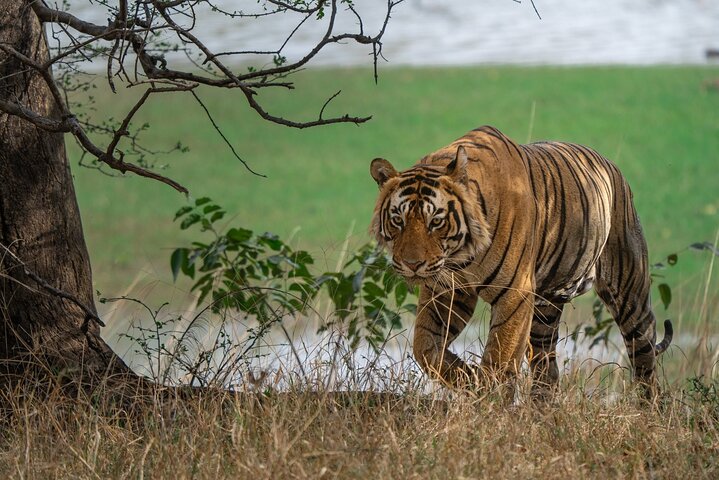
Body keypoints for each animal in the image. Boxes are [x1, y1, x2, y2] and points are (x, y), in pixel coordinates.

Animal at [369, 125, 673, 398]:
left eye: (436, 221)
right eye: (398, 220)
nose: (412, 264)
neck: (460, 257)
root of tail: (611, 166)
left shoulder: (514, 292)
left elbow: (499, 357)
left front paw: (488, 400)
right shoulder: (448, 290)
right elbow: (425, 347)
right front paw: (469, 378)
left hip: (629, 293)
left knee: (645, 361)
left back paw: (649, 412)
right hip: (544, 313)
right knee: (547, 371)